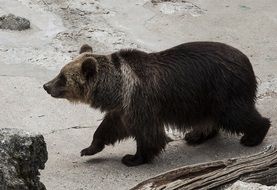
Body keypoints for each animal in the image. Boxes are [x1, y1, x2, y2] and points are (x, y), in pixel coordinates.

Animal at [43, 41, 270, 166]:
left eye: (62, 77)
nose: (46, 86)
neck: (117, 89)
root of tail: (246, 61)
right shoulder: (123, 109)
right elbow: (108, 128)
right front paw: (89, 148)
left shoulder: (141, 102)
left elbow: (148, 134)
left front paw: (132, 158)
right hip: (205, 98)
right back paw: (195, 135)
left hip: (224, 89)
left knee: (237, 114)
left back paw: (253, 136)